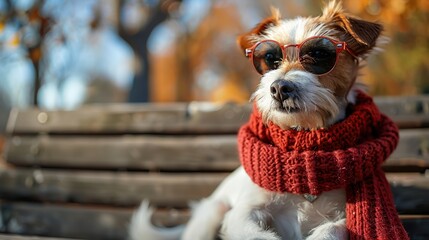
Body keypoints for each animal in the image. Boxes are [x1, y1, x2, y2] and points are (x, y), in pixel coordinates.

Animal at [129, 0, 382, 239]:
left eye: (319, 55)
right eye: (270, 58)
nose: (279, 88)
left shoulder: (344, 216)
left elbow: (332, 229)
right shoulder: (242, 214)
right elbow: (255, 234)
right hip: (213, 212)